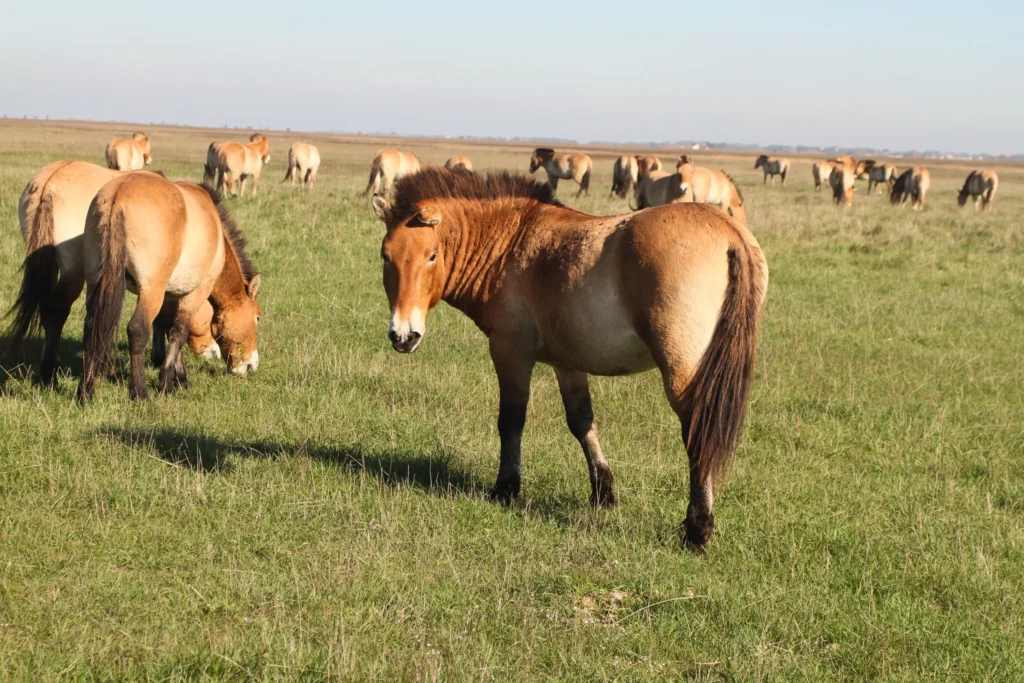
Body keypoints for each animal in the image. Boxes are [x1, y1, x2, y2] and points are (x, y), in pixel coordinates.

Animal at [4, 161, 221, 385]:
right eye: (212, 322)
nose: (217, 354)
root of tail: (49, 182)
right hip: (74, 271)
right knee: (58, 309)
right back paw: (51, 373)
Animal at [78, 174, 262, 403]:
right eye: (257, 318)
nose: (252, 364)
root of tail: (118, 195)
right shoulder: (194, 294)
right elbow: (179, 333)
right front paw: (167, 383)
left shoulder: (171, 295)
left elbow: (167, 328)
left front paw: (179, 378)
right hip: (151, 292)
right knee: (137, 330)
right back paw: (139, 392)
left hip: (96, 282)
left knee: (90, 328)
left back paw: (86, 392)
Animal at [372, 169, 765, 548]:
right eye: (385, 256)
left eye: (431, 255)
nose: (403, 336)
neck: (511, 243)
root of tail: (729, 232)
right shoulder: (568, 364)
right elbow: (582, 422)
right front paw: (603, 493)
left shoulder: (510, 352)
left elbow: (511, 421)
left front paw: (506, 489)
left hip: (682, 372)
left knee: (699, 434)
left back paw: (698, 528)